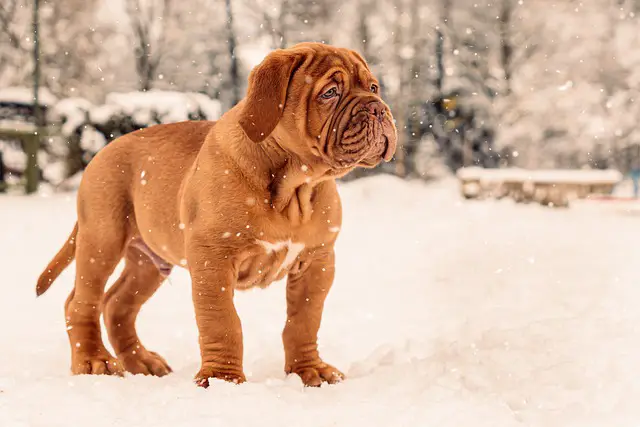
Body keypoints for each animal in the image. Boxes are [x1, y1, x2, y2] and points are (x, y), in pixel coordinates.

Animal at [36, 42, 396, 388]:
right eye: (330, 92)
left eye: (373, 87)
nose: (378, 108)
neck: (295, 187)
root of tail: (102, 152)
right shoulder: (213, 258)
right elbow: (222, 321)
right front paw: (223, 380)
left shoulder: (317, 262)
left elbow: (304, 320)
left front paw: (309, 370)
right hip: (102, 240)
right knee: (82, 301)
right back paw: (93, 361)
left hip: (148, 261)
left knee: (116, 304)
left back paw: (142, 362)